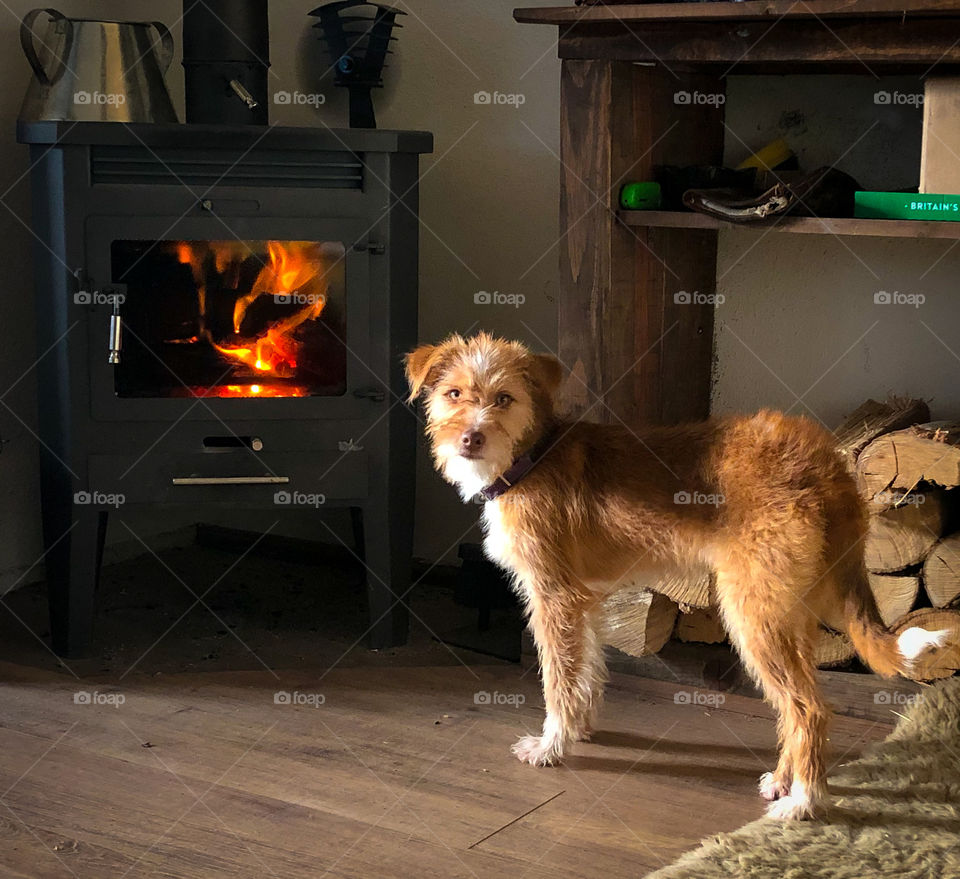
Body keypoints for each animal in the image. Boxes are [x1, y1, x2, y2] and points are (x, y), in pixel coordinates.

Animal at [404, 334, 944, 820]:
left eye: (504, 399)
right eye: (453, 393)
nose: (470, 438)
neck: (530, 457)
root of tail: (824, 458)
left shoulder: (553, 598)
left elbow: (558, 681)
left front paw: (551, 746)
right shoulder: (585, 602)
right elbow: (587, 672)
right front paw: (581, 730)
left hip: (753, 614)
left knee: (808, 708)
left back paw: (803, 802)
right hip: (790, 613)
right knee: (795, 706)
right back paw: (783, 781)